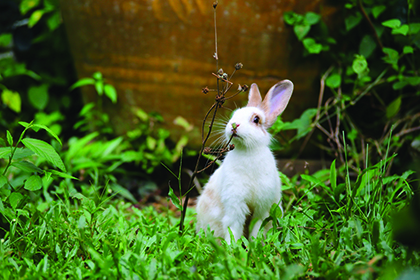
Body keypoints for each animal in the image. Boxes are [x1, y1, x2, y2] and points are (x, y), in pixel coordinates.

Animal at [195, 79, 294, 243]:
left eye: (256, 119)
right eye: (235, 114)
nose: (234, 125)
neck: (248, 151)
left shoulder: (262, 207)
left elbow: (257, 228)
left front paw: (255, 245)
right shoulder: (235, 204)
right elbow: (234, 228)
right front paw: (232, 248)